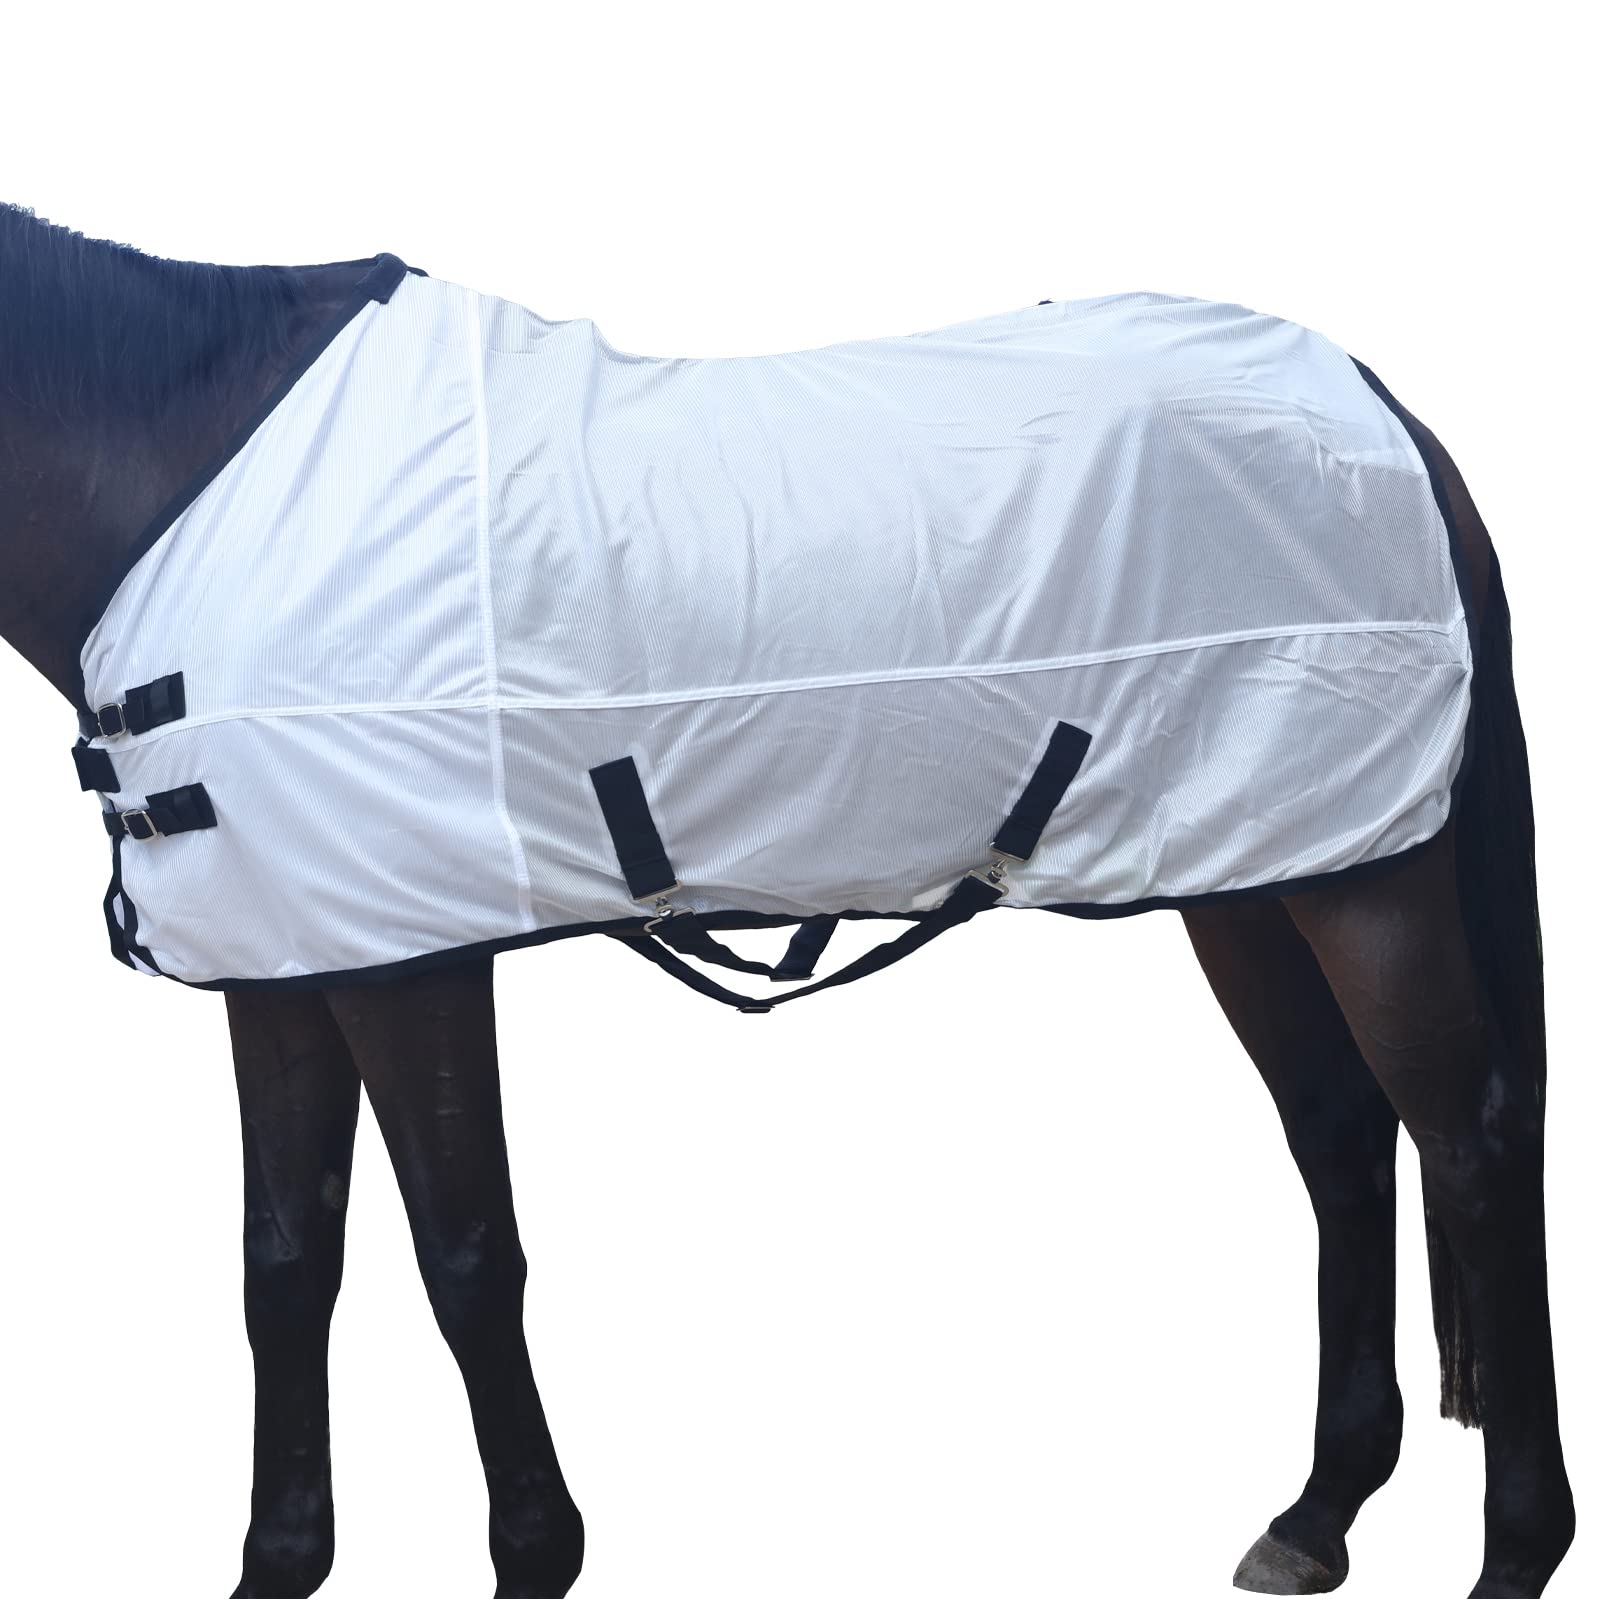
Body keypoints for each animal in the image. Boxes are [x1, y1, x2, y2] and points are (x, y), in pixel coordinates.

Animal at [0, 203, 1575, 1598]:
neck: (188, 476)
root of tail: (1381, 411)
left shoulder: (410, 963)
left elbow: (464, 1256)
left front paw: (535, 1557)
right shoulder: (288, 960)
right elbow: (285, 1266)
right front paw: (279, 1564)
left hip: (1373, 882)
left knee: (1472, 1143)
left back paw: (1515, 1553)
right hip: (1256, 869)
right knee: (1342, 1136)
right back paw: (1317, 1515)